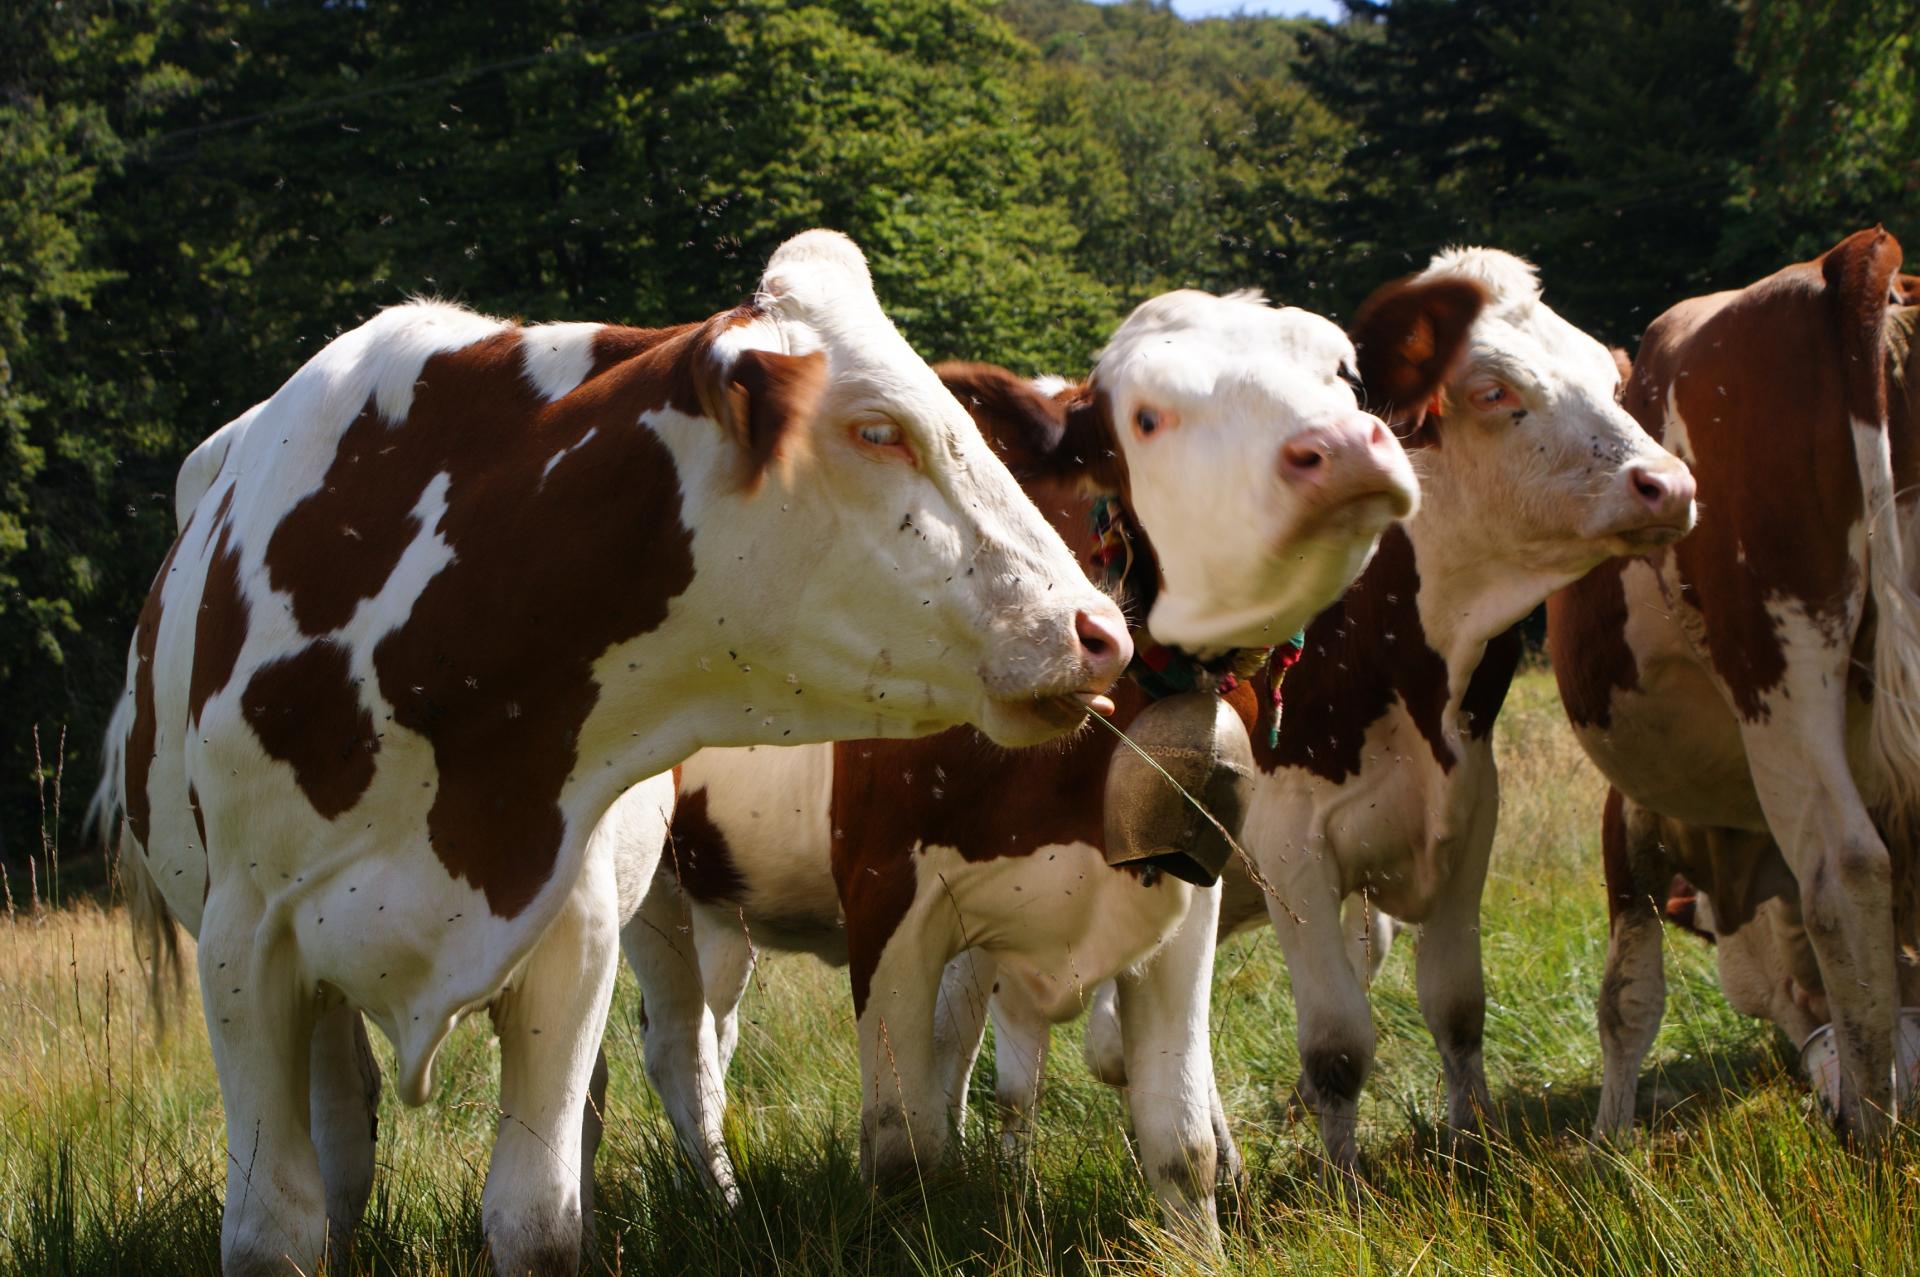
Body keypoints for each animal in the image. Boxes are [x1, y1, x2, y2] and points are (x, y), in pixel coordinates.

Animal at [90, 231, 1128, 1275]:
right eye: (879, 430)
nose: (1097, 629)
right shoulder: (242, 942)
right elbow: (273, 1228)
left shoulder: (570, 933)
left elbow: (536, 1218)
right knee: (347, 1117)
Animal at [618, 270, 1482, 1236]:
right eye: (1146, 416)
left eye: (1343, 371)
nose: (1342, 447)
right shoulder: (885, 893)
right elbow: (901, 1146)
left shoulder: (1182, 893)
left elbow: (1179, 1138)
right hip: (648, 880)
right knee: (677, 1047)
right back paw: (721, 1199)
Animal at [1543, 223, 1920, 1136]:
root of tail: (1841, 260)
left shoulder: (1630, 810)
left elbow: (1626, 996)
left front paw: (1609, 1140)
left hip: (1775, 664)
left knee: (1844, 873)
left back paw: (1875, 1135)